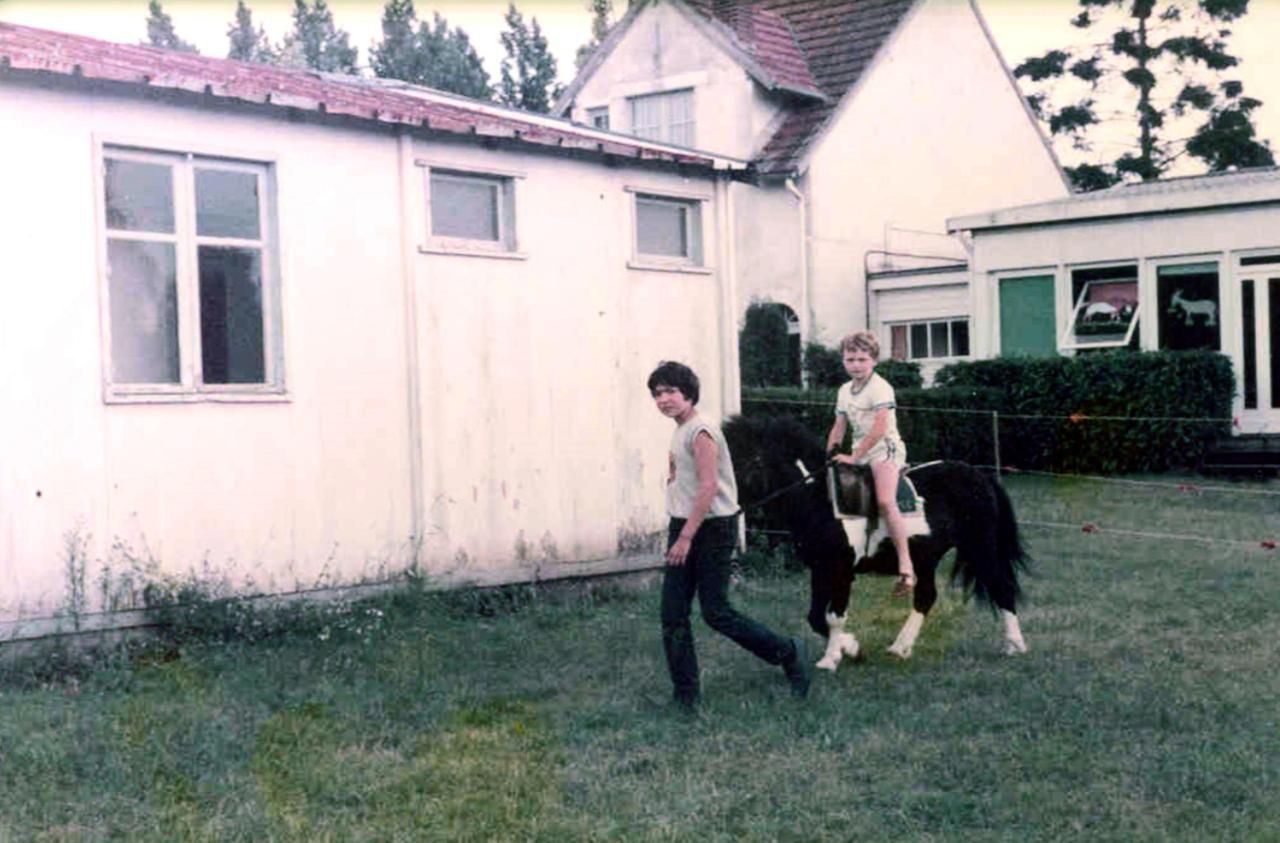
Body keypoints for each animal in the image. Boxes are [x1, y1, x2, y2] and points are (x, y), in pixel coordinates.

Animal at [727, 414, 1034, 670]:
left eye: (741, 461)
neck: (822, 500)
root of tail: (981, 476)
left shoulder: (841, 571)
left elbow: (834, 616)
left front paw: (833, 658)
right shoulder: (820, 569)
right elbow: (815, 617)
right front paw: (850, 648)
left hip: (980, 547)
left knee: (1002, 587)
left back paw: (1015, 646)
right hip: (925, 558)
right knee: (926, 597)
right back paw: (900, 647)